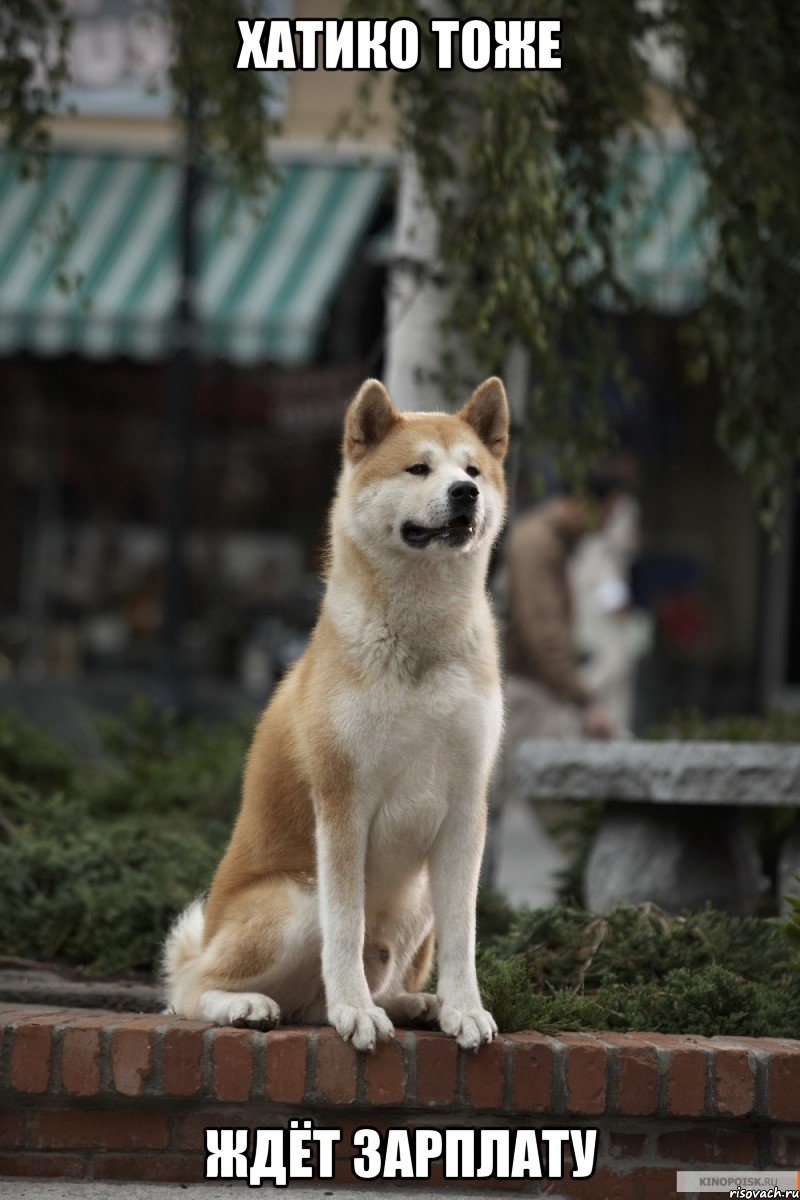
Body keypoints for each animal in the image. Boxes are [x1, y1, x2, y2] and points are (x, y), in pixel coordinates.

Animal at [164, 374, 506, 1051]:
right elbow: (345, 928)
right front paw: (355, 1011)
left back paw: (413, 1003)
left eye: (473, 469)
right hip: (296, 900)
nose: (466, 493)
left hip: (416, 900)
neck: (420, 644)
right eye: (419, 468)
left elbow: (465, 934)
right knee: (189, 990)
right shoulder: (344, 801)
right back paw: (251, 1004)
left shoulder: (465, 806)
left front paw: (464, 1009)